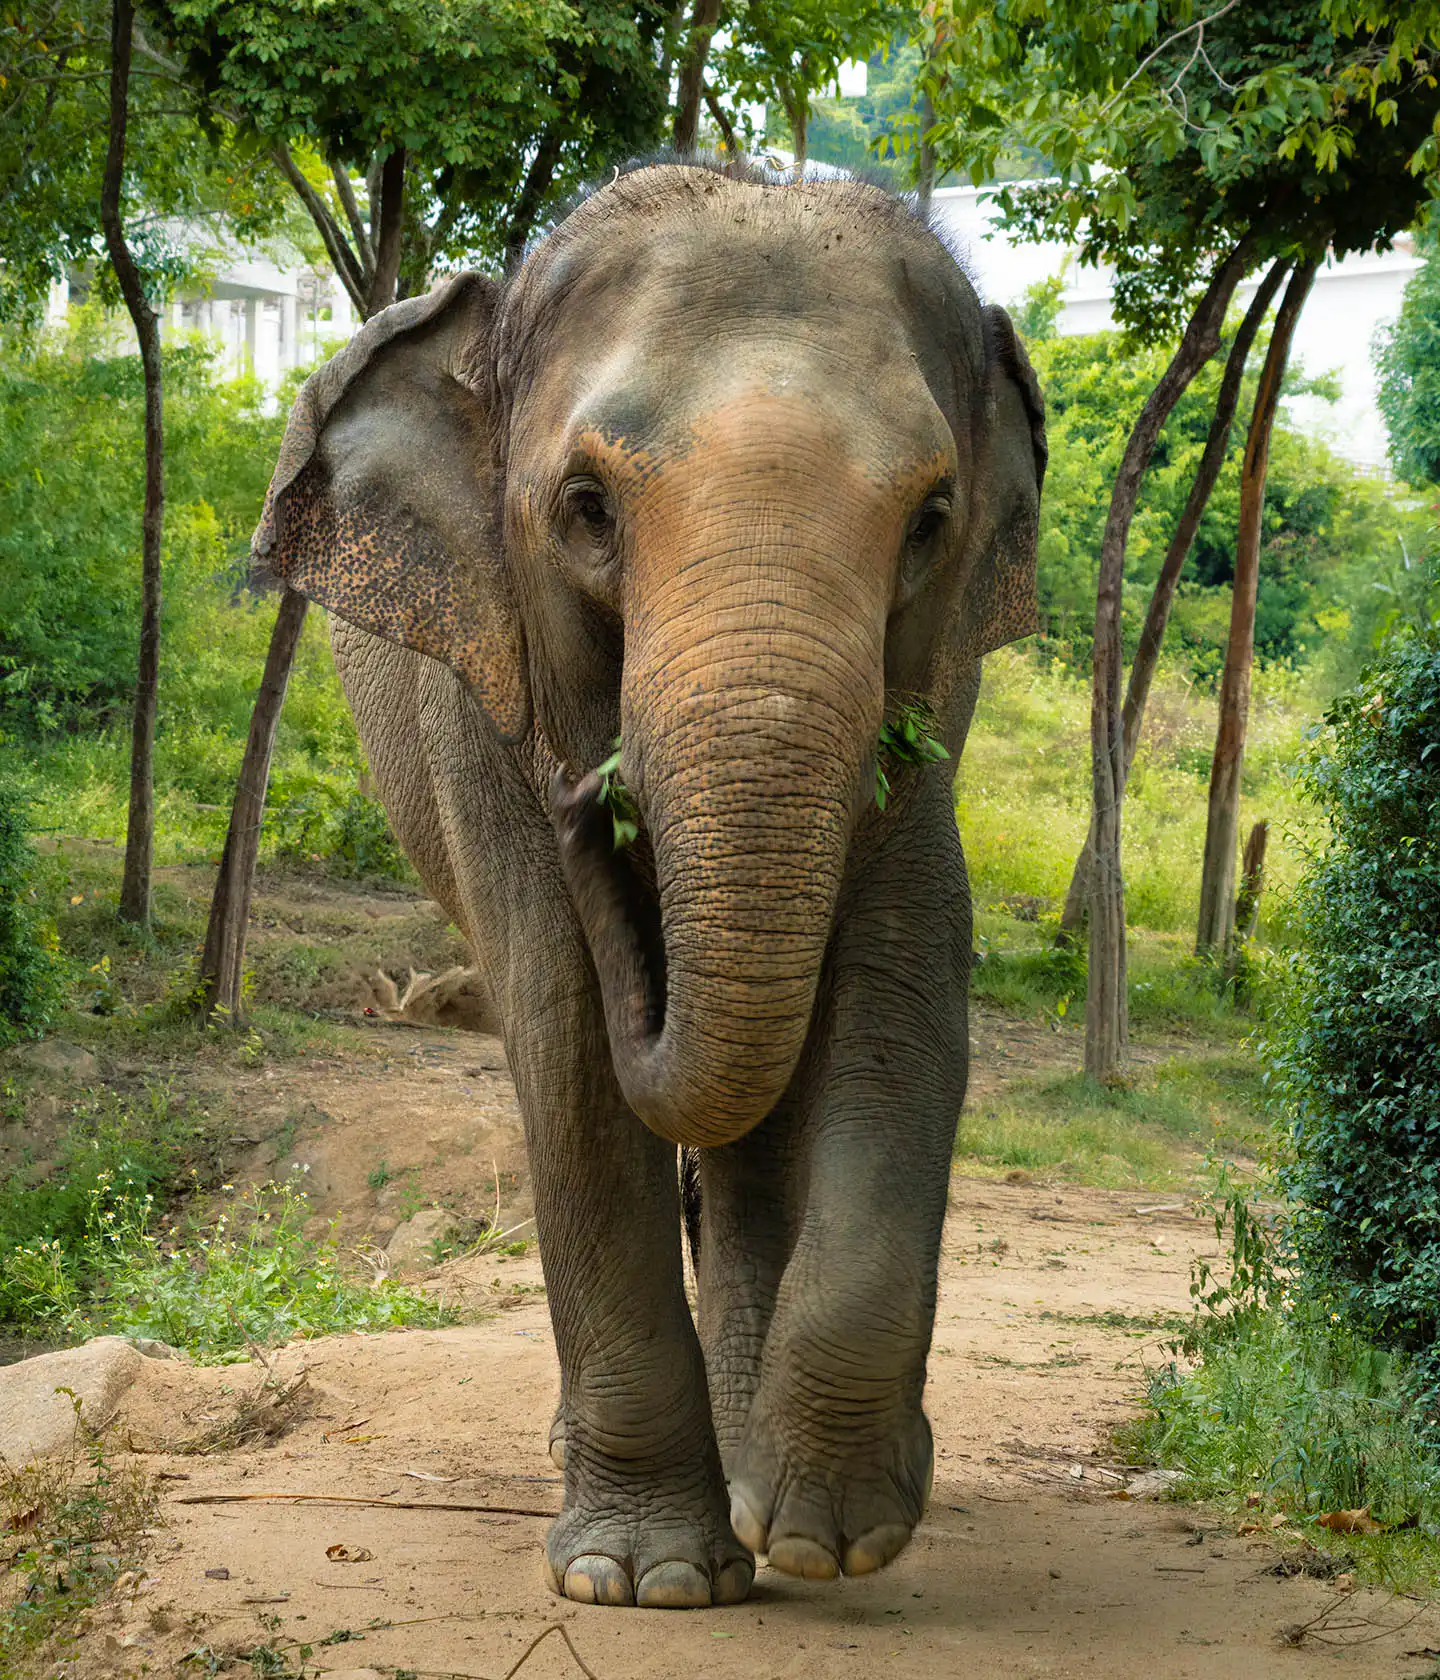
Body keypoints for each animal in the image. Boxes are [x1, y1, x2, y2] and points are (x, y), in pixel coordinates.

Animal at [252, 160, 1045, 1610]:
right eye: (586, 506)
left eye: (931, 520)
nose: (588, 796)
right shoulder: (481, 695)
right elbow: (563, 1030)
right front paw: (648, 1580)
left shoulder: (933, 702)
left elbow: (904, 985)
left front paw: (829, 1535)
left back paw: (761, 1476)